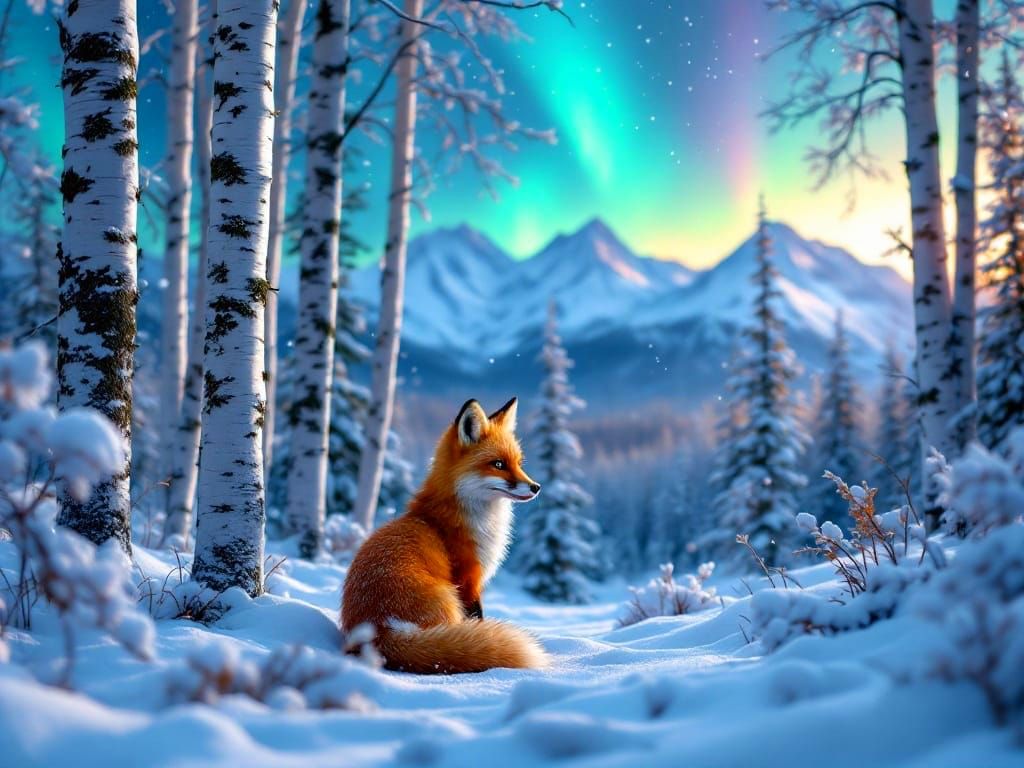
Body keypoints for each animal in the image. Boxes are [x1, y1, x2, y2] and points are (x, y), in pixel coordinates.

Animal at [341, 396, 549, 674]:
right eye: (498, 464)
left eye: (518, 463)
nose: (536, 487)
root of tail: (375, 634)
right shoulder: (469, 579)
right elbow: (478, 618)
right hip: (449, 601)